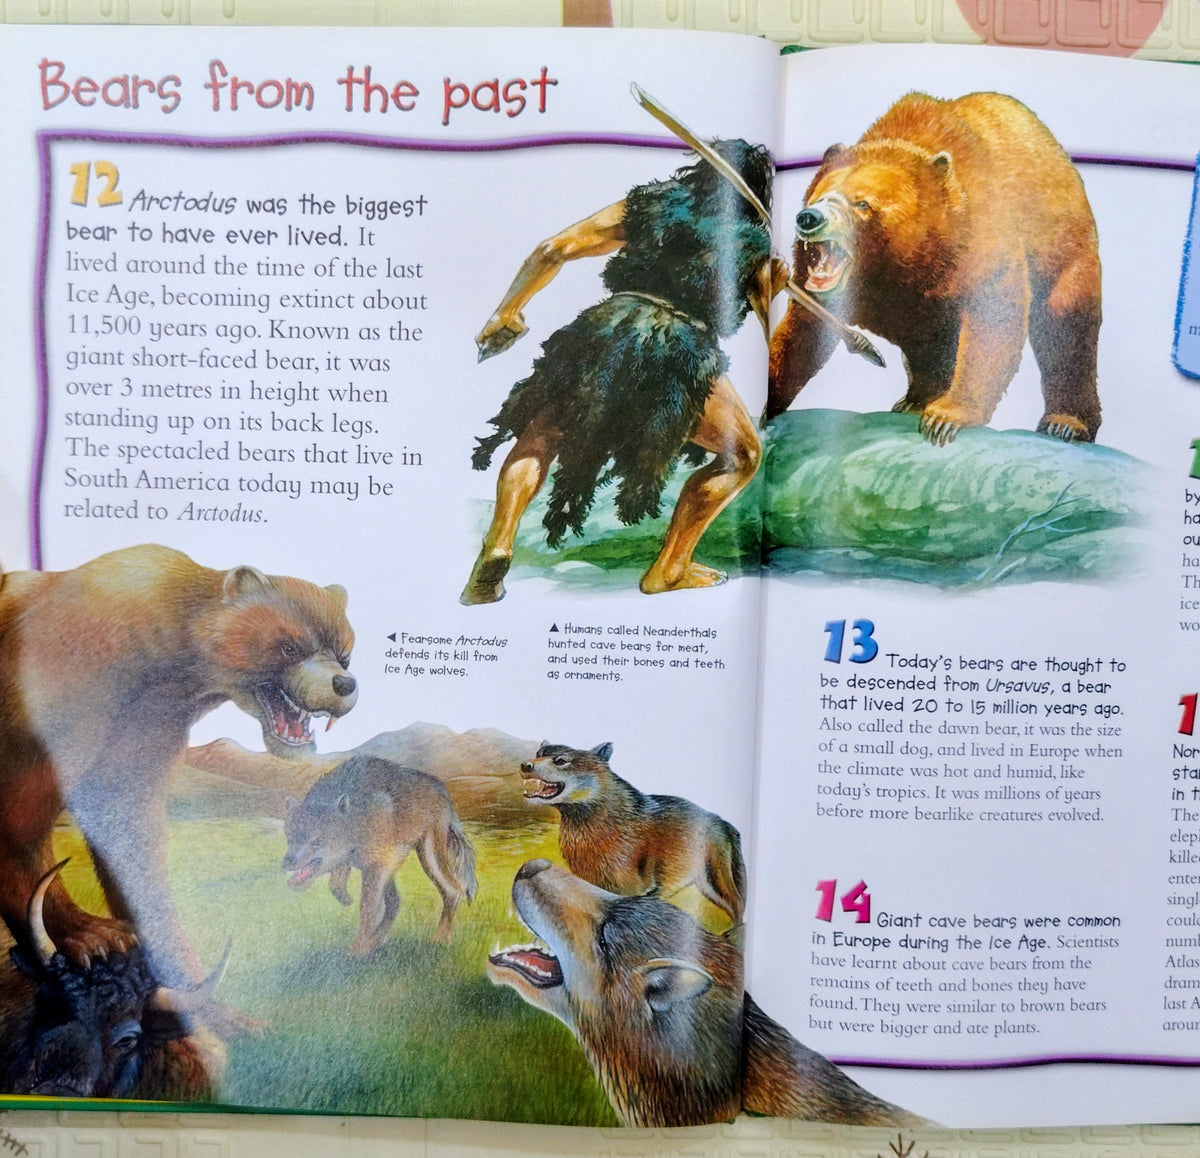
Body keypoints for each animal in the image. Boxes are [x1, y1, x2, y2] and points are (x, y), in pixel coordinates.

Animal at [0, 543, 358, 995]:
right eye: (289, 646)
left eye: (344, 653)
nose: (343, 684)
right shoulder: (66, 679)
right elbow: (21, 820)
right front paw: (89, 935)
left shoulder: (151, 722)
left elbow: (129, 827)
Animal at [767, 91, 1102, 446]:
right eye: (818, 196)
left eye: (862, 203)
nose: (809, 218)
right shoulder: (821, 290)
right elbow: (801, 334)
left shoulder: (979, 238)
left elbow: (993, 321)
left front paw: (946, 417)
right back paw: (915, 399)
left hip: (1064, 247)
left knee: (1066, 328)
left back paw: (1066, 423)